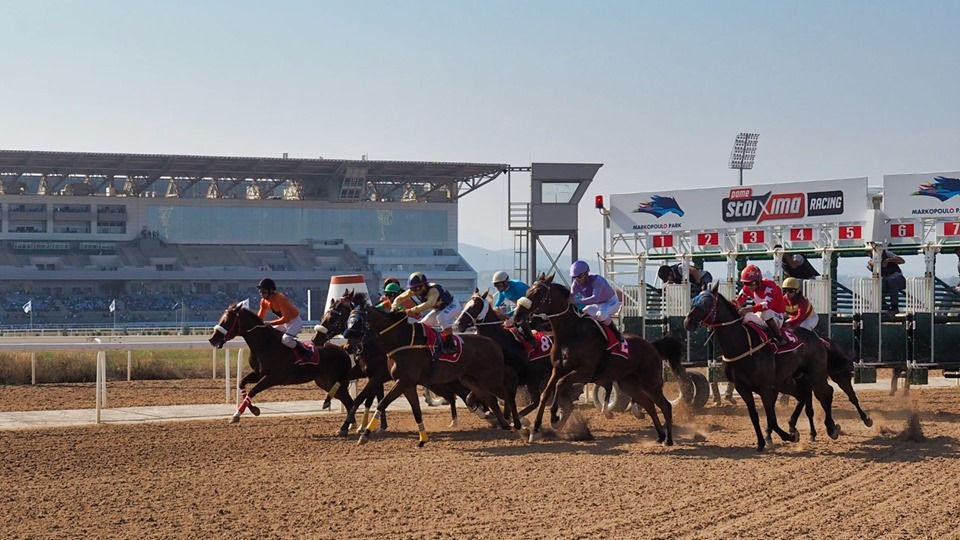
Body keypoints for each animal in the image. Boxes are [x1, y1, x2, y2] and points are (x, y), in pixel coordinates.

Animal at [208, 302, 358, 436]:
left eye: (227, 320)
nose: (212, 339)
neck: (265, 343)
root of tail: (343, 350)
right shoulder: (258, 373)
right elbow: (242, 384)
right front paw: (245, 412)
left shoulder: (273, 377)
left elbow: (253, 391)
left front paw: (244, 413)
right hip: (326, 383)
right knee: (347, 401)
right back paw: (351, 426)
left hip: (337, 383)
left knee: (349, 401)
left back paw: (349, 427)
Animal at [314, 288, 478, 432]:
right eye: (324, 315)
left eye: (332, 317)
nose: (316, 339)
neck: (373, 342)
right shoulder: (364, 371)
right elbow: (345, 381)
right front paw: (328, 402)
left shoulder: (378, 375)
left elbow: (364, 398)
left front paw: (354, 427)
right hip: (435, 381)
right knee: (452, 395)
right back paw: (456, 420)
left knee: (461, 393)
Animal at [344, 298, 520, 446]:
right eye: (348, 321)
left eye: (358, 322)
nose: (348, 347)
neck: (401, 342)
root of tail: (494, 343)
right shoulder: (407, 385)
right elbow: (416, 411)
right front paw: (423, 439)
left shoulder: (401, 381)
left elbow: (381, 403)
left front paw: (364, 434)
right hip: (470, 381)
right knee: (489, 400)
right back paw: (503, 424)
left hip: (491, 380)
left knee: (507, 396)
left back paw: (518, 425)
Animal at [512, 274, 688, 448]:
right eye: (528, 290)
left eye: (538, 292)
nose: (517, 315)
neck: (571, 334)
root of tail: (652, 346)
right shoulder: (557, 369)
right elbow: (546, 393)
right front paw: (535, 429)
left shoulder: (584, 372)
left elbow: (560, 384)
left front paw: (555, 417)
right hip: (629, 384)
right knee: (650, 405)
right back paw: (660, 436)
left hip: (650, 382)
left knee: (665, 405)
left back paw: (668, 439)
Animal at [684, 286, 840, 452]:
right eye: (693, 300)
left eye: (707, 302)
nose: (688, 321)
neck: (742, 345)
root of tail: (816, 338)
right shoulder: (743, 388)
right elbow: (754, 416)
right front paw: (761, 442)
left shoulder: (765, 387)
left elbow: (771, 418)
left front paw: (787, 437)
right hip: (784, 381)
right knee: (803, 395)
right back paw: (794, 426)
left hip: (816, 374)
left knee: (826, 393)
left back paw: (831, 428)